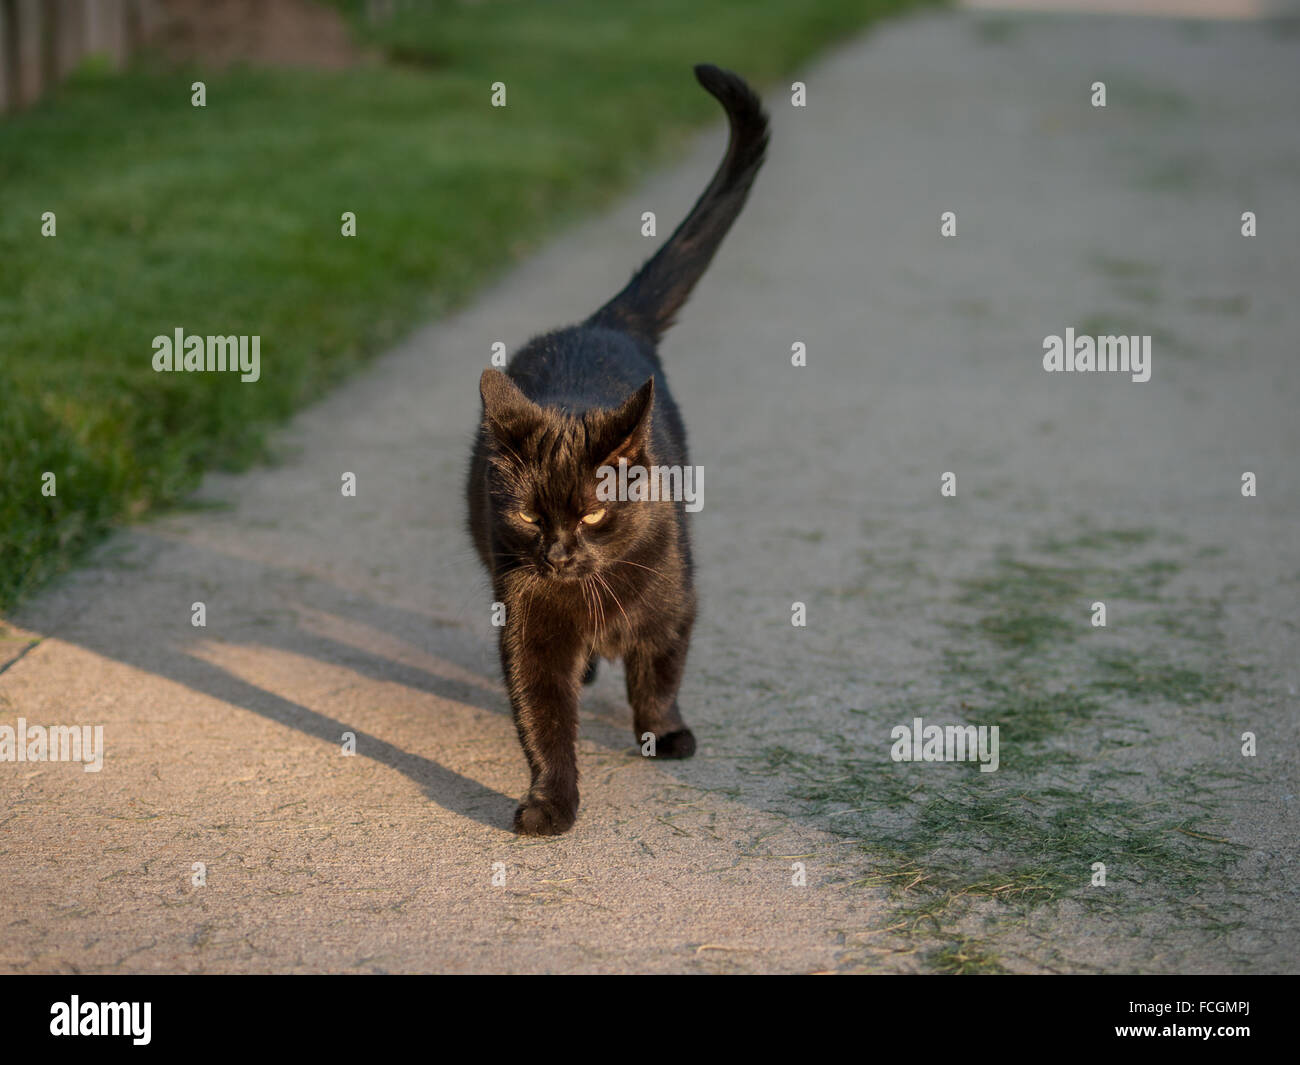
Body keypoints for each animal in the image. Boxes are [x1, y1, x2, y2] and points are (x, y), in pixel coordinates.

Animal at [470, 64, 764, 832]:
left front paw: (665, 734)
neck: (590, 592)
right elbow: (543, 721)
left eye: (596, 514)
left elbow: (658, 675)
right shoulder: (526, 630)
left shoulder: (675, 605)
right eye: (530, 517)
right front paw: (551, 804)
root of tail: (602, 321)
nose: (558, 553)